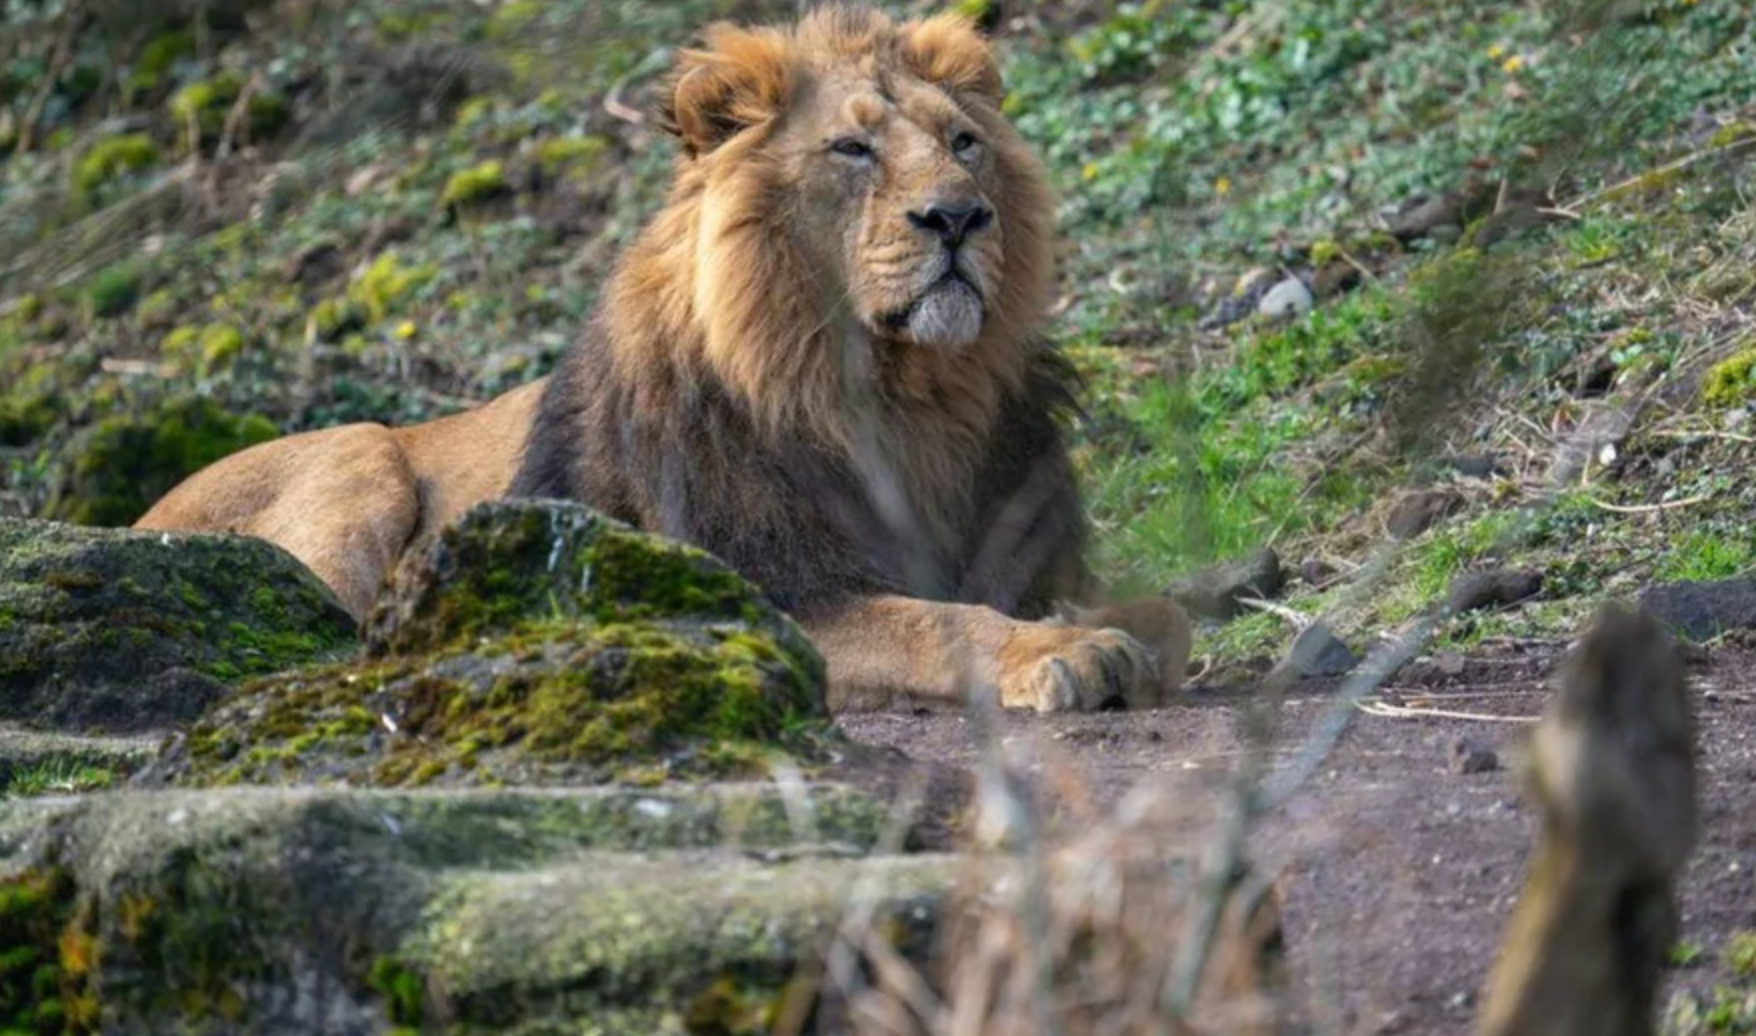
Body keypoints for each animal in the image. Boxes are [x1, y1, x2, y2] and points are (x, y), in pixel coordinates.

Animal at [133, 4, 1194, 716]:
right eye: (851, 150)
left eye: (964, 142)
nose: (959, 217)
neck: (900, 394)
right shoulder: (760, 594)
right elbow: (939, 622)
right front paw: (1065, 653)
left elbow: (1163, 613)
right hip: (359, 455)